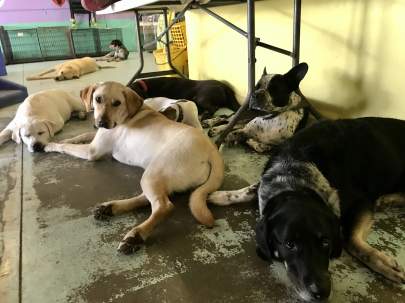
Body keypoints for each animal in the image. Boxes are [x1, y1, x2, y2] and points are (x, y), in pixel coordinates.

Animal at [44, 82, 224, 255]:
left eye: (117, 103)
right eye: (97, 99)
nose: (101, 123)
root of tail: (212, 149)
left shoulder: (92, 151)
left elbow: (66, 147)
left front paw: (50, 145)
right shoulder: (96, 137)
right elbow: (81, 136)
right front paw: (67, 138)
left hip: (153, 173)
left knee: (164, 206)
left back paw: (135, 236)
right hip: (155, 174)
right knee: (149, 198)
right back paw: (109, 208)